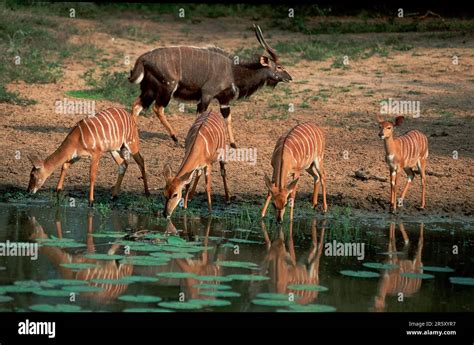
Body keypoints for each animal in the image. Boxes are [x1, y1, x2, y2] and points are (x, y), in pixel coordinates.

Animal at [131, 23, 292, 148]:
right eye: (279, 67)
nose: (290, 78)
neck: (233, 70)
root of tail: (143, 58)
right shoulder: (206, 95)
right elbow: (200, 116)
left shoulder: (224, 100)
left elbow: (227, 118)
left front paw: (233, 144)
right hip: (167, 88)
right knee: (157, 108)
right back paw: (175, 138)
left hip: (149, 90)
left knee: (136, 105)